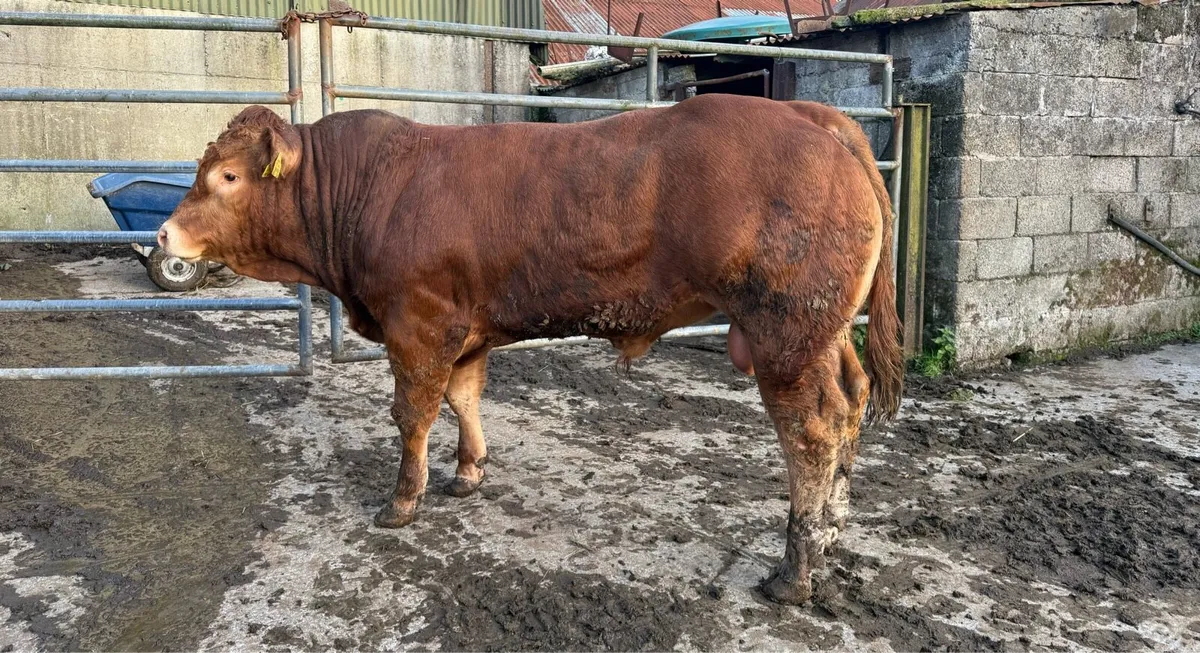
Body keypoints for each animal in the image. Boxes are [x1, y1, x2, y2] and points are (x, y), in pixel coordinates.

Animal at [158, 94, 903, 604]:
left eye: (227, 177)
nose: (164, 234)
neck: (368, 188)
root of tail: (814, 117)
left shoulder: (418, 323)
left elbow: (412, 414)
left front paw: (402, 501)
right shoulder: (465, 328)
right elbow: (464, 397)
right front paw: (468, 472)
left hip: (786, 334)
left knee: (812, 431)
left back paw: (796, 568)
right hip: (826, 335)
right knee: (852, 402)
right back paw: (831, 529)